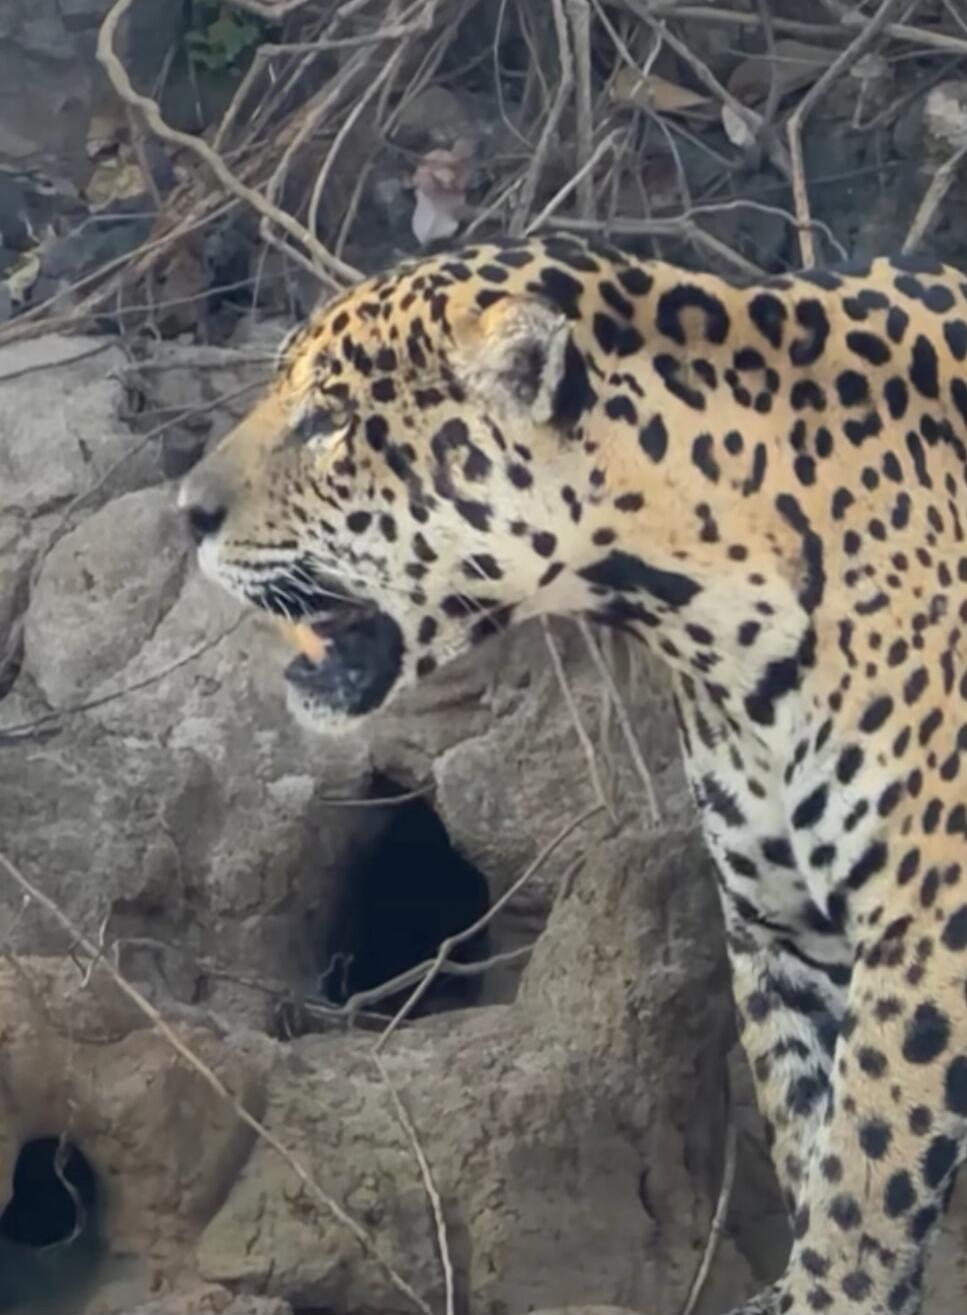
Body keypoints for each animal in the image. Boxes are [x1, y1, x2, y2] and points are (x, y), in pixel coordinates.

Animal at [178, 231, 967, 1315]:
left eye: (330, 420)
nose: (187, 512)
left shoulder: (926, 927)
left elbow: (866, 1167)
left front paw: (831, 1289)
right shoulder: (779, 928)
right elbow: (810, 1131)